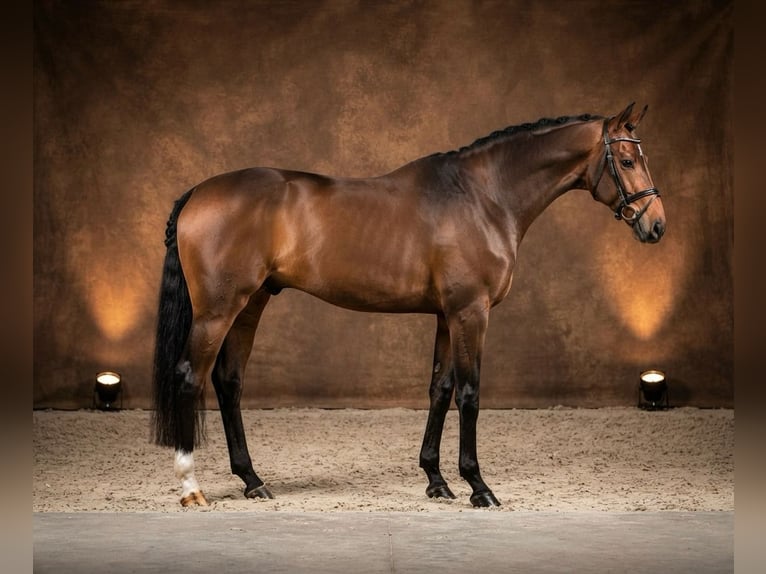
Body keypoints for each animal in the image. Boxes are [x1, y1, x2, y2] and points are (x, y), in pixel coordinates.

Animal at [152, 102, 666, 508]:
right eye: (626, 159)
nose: (656, 225)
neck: (483, 197)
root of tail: (198, 192)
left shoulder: (446, 315)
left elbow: (440, 389)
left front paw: (436, 480)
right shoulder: (470, 313)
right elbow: (469, 393)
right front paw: (478, 486)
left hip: (251, 304)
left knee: (228, 381)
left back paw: (253, 480)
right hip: (218, 311)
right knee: (190, 377)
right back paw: (191, 487)